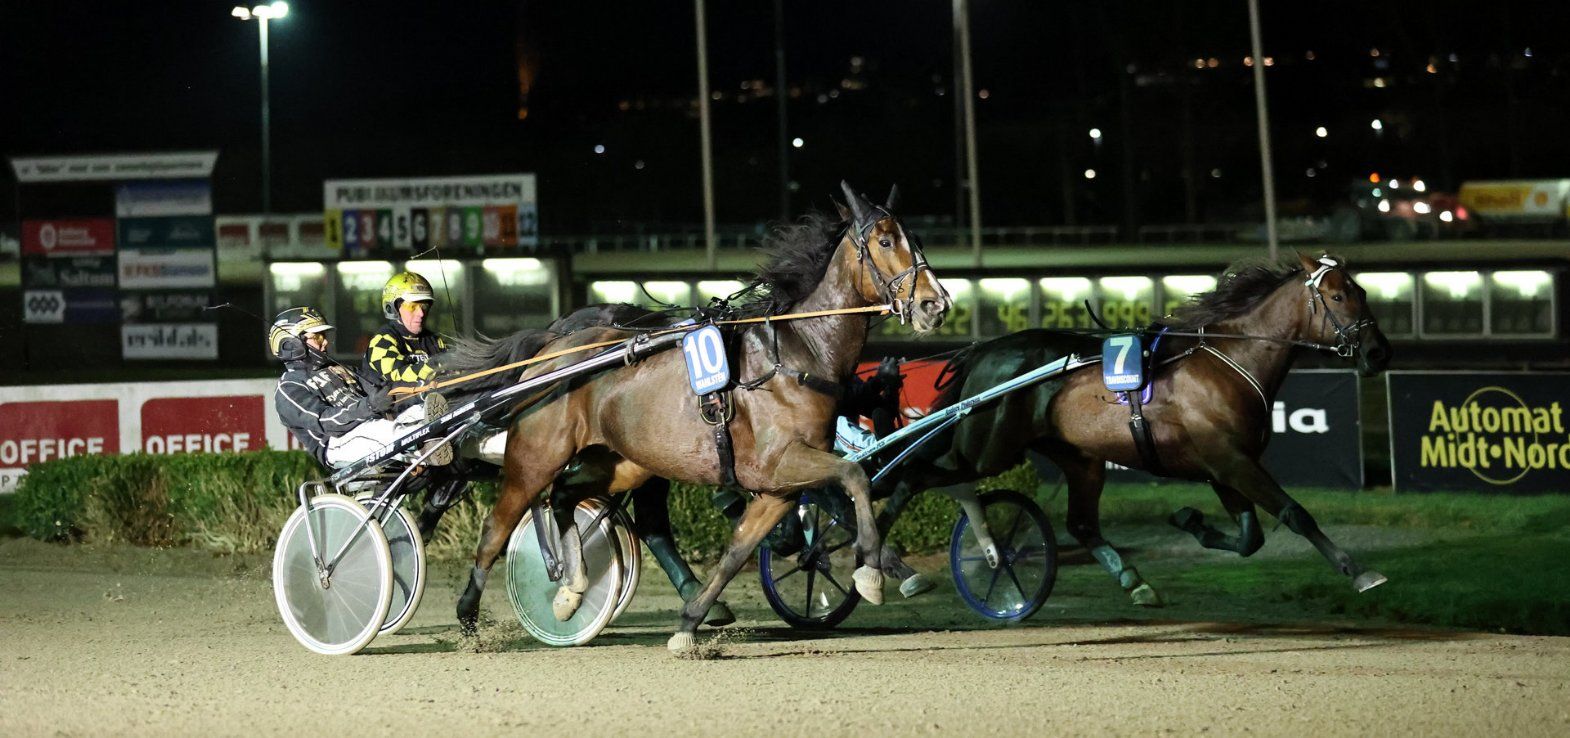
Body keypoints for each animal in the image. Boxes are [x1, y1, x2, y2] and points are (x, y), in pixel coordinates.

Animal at [449, 182, 948, 650]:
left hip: (623, 463)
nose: (936, 304)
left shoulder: (779, 487)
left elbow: (736, 551)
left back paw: (571, 591)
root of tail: (552, 348)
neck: (797, 354)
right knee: (497, 527)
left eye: (916, 238)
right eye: (885, 240)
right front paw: (871, 571)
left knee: (566, 498)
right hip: (535, 457)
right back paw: (470, 620)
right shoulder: (782, 461)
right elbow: (854, 477)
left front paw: (690, 622)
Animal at [879, 254, 1394, 606]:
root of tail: (983, 353)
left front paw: (1189, 520)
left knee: (1081, 522)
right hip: (985, 448)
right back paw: (885, 561)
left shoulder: (1222, 467)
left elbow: (1251, 538)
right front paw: (1359, 572)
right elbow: (1294, 514)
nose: (1378, 353)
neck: (1228, 360)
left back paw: (1135, 582)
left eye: (1364, 292)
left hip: (1078, 458)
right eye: (1338, 296)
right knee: (909, 476)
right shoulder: (1232, 461)